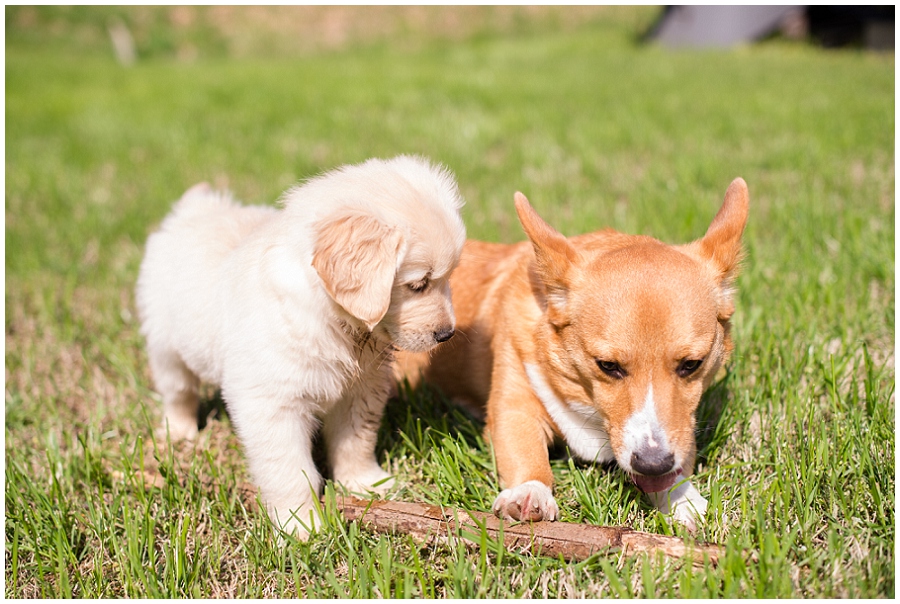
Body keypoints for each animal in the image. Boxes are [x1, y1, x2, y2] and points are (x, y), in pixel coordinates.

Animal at [139, 157, 472, 536]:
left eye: (447, 278)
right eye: (418, 285)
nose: (447, 334)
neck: (334, 321)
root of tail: (197, 208)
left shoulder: (361, 390)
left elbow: (356, 441)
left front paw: (364, 483)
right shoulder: (273, 404)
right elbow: (289, 470)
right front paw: (300, 524)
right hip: (164, 345)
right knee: (178, 391)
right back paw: (180, 433)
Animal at [398, 179, 748, 528]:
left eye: (692, 364)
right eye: (607, 365)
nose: (653, 464)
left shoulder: (681, 425)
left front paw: (680, 497)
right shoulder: (514, 408)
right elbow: (527, 453)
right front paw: (530, 492)